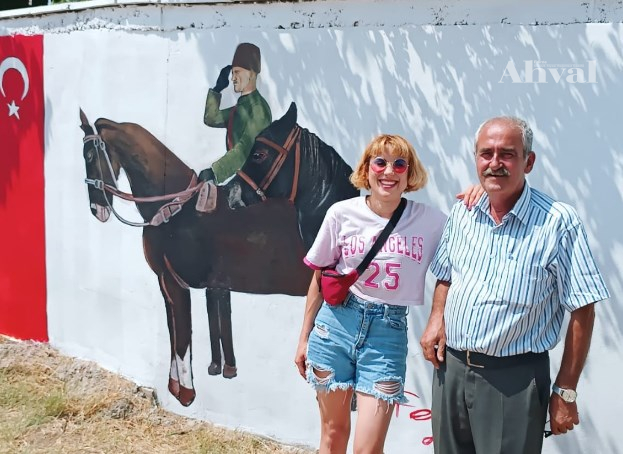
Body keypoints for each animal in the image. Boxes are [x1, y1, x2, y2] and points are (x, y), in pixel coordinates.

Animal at [79, 111, 310, 408]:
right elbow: (173, 332)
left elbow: (182, 338)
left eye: (90, 155)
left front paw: (186, 394)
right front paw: (174, 386)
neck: (176, 209)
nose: (97, 209)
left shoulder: (177, 284)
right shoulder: (166, 283)